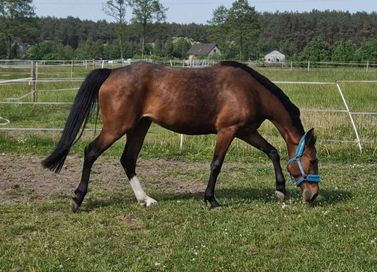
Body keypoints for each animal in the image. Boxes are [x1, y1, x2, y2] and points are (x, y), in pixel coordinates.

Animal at [43, 61, 320, 212]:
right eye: (313, 161)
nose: (314, 194)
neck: (251, 90)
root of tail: (112, 72)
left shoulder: (246, 131)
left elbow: (272, 151)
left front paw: (280, 190)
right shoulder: (228, 131)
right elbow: (216, 165)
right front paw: (211, 200)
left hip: (139, 127)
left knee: (128, 160)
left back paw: (145, 199)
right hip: (116, 127)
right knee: (91, 152)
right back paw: (77, 199)